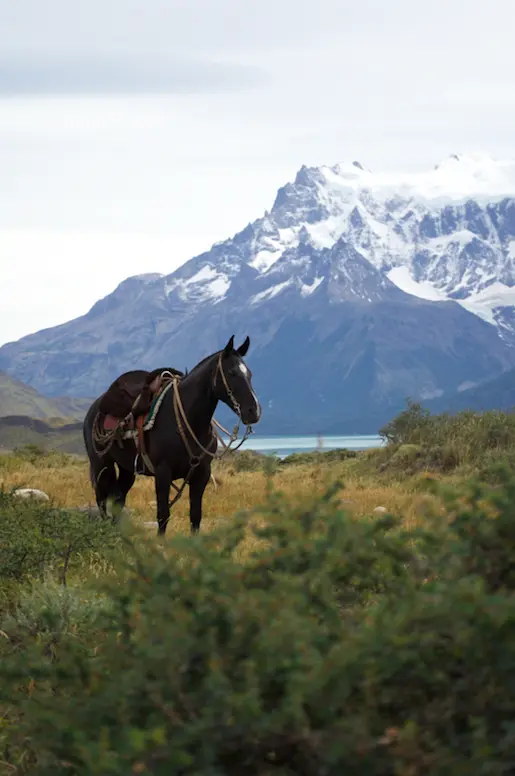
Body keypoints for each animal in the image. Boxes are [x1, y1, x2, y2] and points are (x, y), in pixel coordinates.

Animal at [82, 335, 261, 536]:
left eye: (249, 374)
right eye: (231, 373)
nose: (253, 411)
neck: (188, 420)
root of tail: (95, 407)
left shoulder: (201, 474)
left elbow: (195, 516)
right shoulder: (163, 472)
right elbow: (163, 515)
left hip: (127, 469)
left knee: (118, 501)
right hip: (102, 466)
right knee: (102, 501)